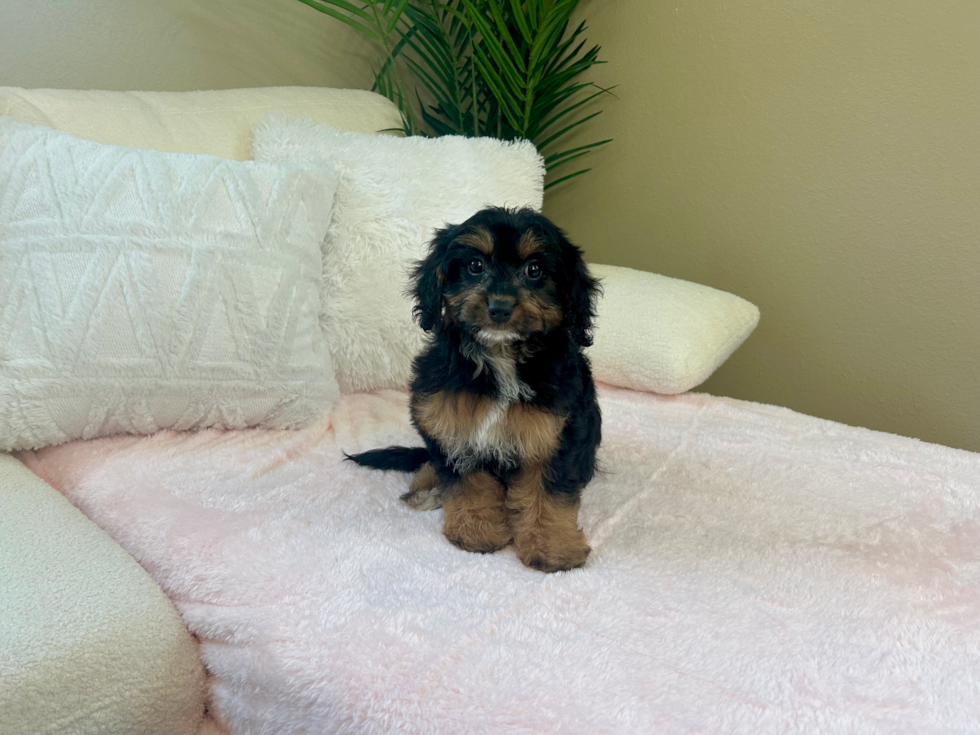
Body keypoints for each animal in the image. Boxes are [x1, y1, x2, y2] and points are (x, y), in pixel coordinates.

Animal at [348, 207, 600, 576]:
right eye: (475, 265)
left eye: (534, 270)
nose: (499, 308)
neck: (501, 358)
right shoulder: (451, 419)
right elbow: (468, 482)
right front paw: (477, 532)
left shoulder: (556, 433)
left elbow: (547, 492)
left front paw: (552, 548)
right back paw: (426, 489)